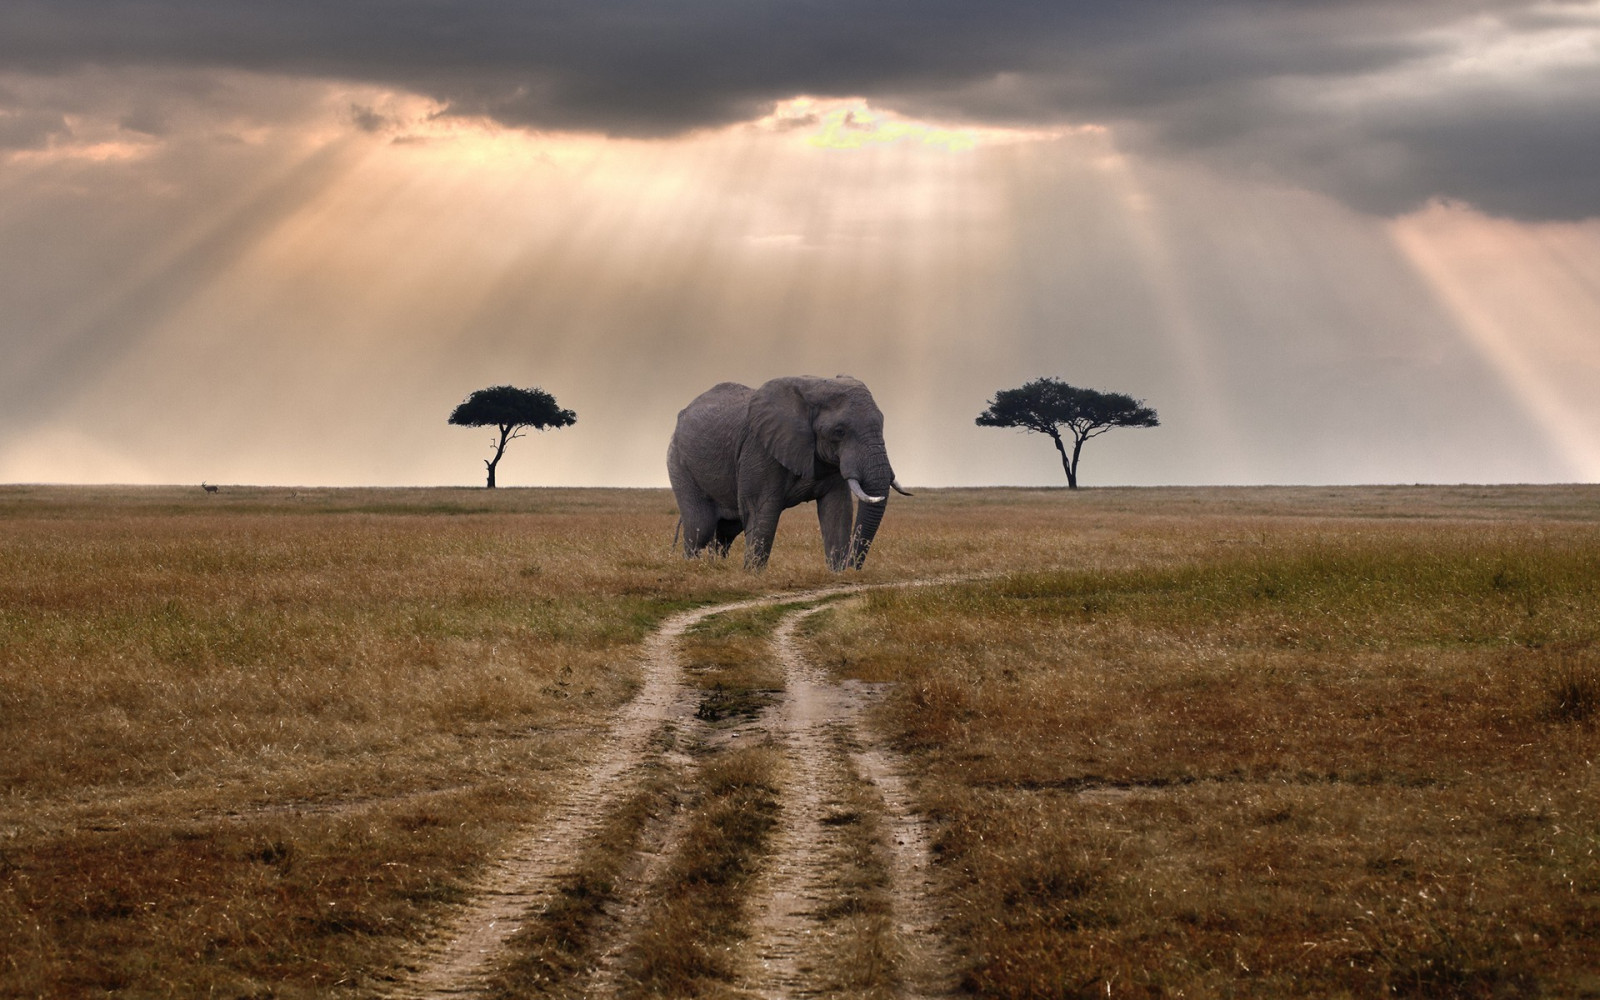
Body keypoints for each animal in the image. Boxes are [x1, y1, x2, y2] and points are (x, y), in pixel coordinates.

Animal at [667, 375, 911, 570]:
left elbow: (838, 510)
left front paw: (837, 573)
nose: (852, 567)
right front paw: (752, 575)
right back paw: (692, 568)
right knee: (701, 527)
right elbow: (762, 511)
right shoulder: (760, 449)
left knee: (726, 531)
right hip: (680, 464)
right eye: (839, 431)